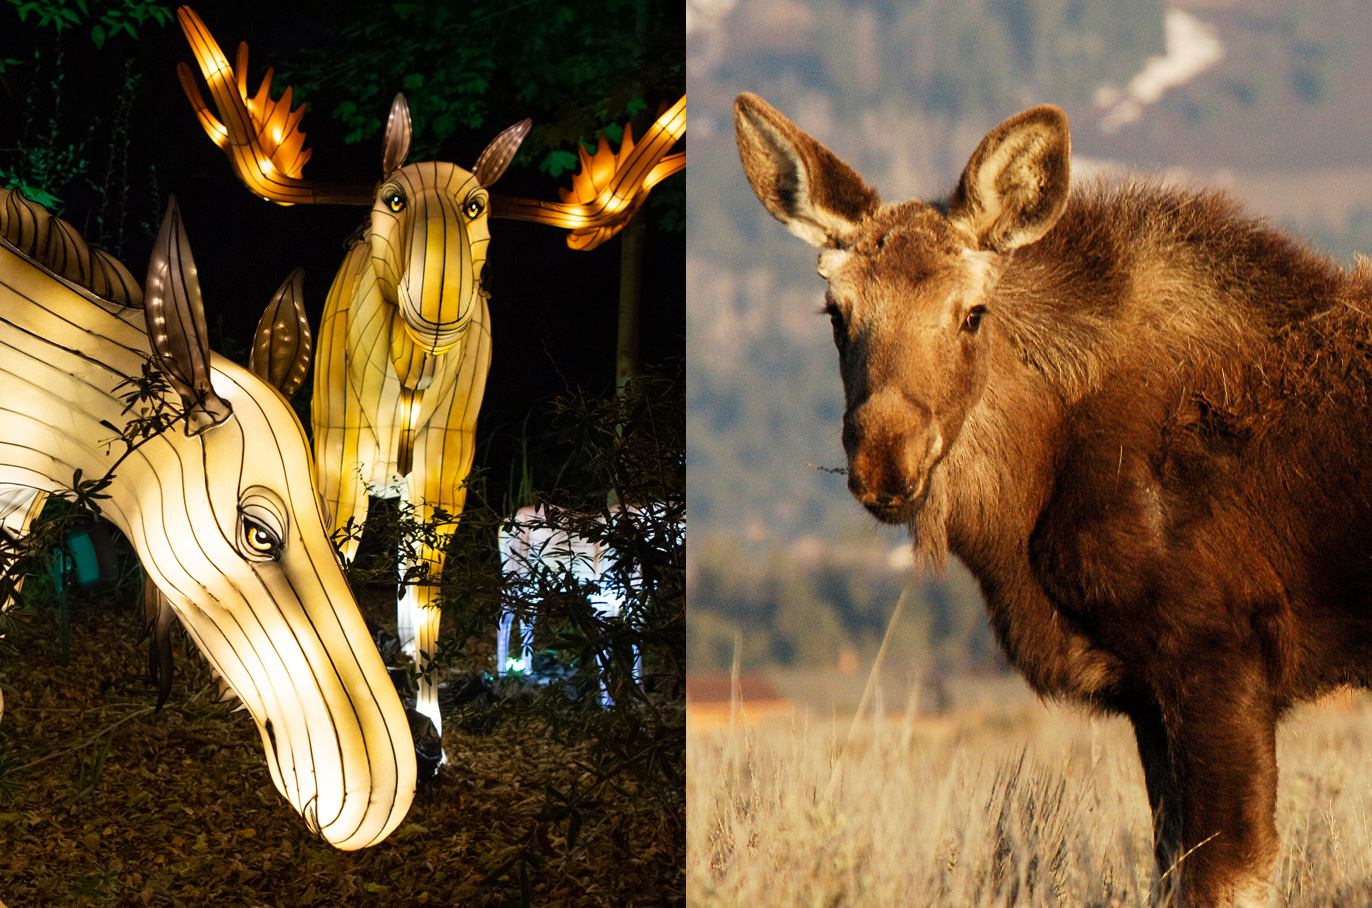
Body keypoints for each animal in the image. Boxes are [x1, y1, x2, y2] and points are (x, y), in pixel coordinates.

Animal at [173, 6, 685, 741]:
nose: (441, 304)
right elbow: (322, 574)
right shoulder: (335, 469)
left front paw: (431, 731)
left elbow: (423, 609)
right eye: (392, 198)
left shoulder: (445, 485)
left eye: (477, 205)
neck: (407, 396)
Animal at [733, 91, 1372, 908]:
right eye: (837, 314)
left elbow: (1227, 874)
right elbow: (1170, 865)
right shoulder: (1148, 694)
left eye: (972, 312)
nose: (883, 463)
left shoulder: (1220, 653)